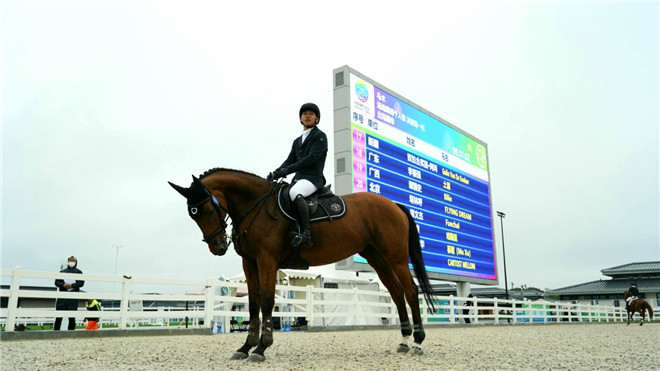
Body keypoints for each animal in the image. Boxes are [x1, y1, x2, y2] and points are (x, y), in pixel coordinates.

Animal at [169, 169, 438, 364]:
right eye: (193, 214)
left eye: (206, 208)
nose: (218, 247)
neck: (255, 206)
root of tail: (393, 204)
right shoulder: (250, 263)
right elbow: (253, 303)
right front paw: (245, 347)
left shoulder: (267, 259)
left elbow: (267, 300)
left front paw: (261, 348)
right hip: (377, 257)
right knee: (396, 292)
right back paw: (404, 341)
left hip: (396, 257)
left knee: (410, 291)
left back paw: (417, 342)